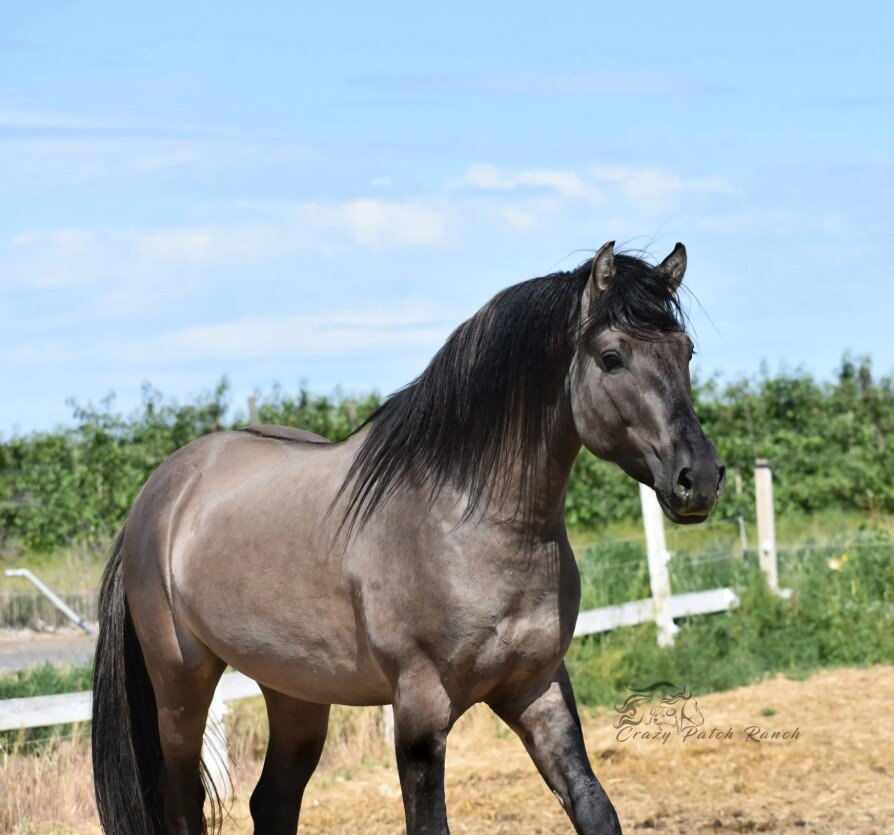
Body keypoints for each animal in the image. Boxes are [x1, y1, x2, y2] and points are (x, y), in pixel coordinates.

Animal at [91, 240, 725, 835]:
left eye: (686, 352)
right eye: (612, 357)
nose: (699, 478)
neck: (469, 523)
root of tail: (162, 491)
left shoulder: (540, 688)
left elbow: (594, 808)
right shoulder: (420, 710)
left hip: (295, 690)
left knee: (272, 802)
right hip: (181, 683)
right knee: (184, 805)